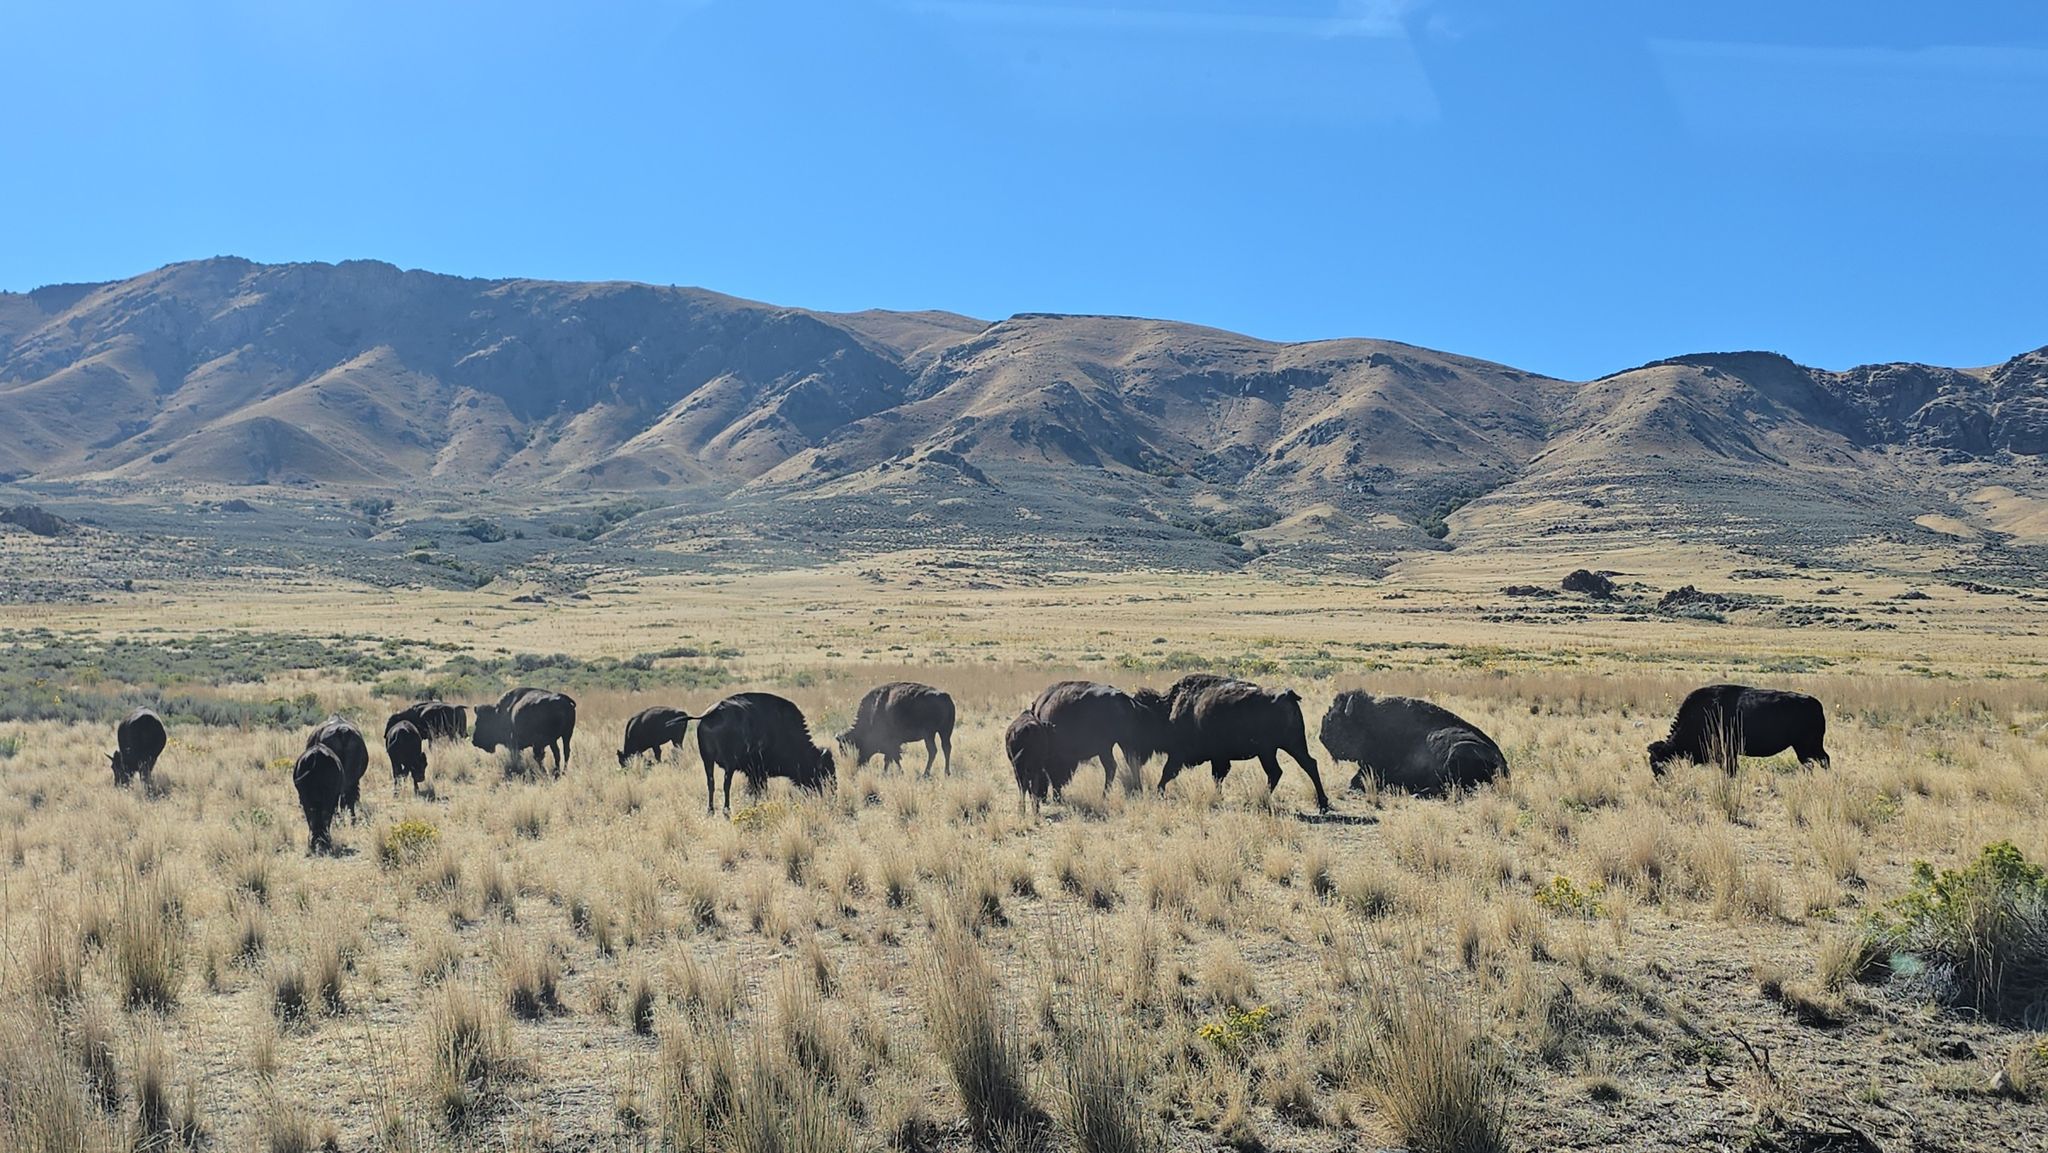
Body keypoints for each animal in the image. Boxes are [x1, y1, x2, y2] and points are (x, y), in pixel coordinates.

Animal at [695, 692, 835, 816]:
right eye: (823, 773)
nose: (832, 793)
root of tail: (709, 715)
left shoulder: (755, 773)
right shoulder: (758, 772)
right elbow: (759, 789)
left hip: (708, 761)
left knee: (711, 783)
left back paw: (711, 811)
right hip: (729, 765)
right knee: (726, 785)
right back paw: (726, 811)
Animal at [1148, 677, 1331, 812]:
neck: (1170, 707)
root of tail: (1287, 695)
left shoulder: (1180, 754)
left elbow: (1169, 771)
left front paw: (1159, 791)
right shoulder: (1218, 757)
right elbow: (1218, 776)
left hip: (1270, 751)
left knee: (1278, 771)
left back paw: (1259, 800)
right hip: (1291, 745)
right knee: (1307, 764)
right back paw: (1322, 804)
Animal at [1319, 691, 1506, 797]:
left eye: (1335, 720)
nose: (1322, 737)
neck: (1370, 724)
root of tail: (1503, 763)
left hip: (1458, 752)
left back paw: (1415, 792)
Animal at [1649, 684, 1831, 776]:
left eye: (1657, 764)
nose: (1659, 780)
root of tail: (1816, 704)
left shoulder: (1728, 752)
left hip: (1808, 745)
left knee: (1823, 760)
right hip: (1802, 748)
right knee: (1813, 762)